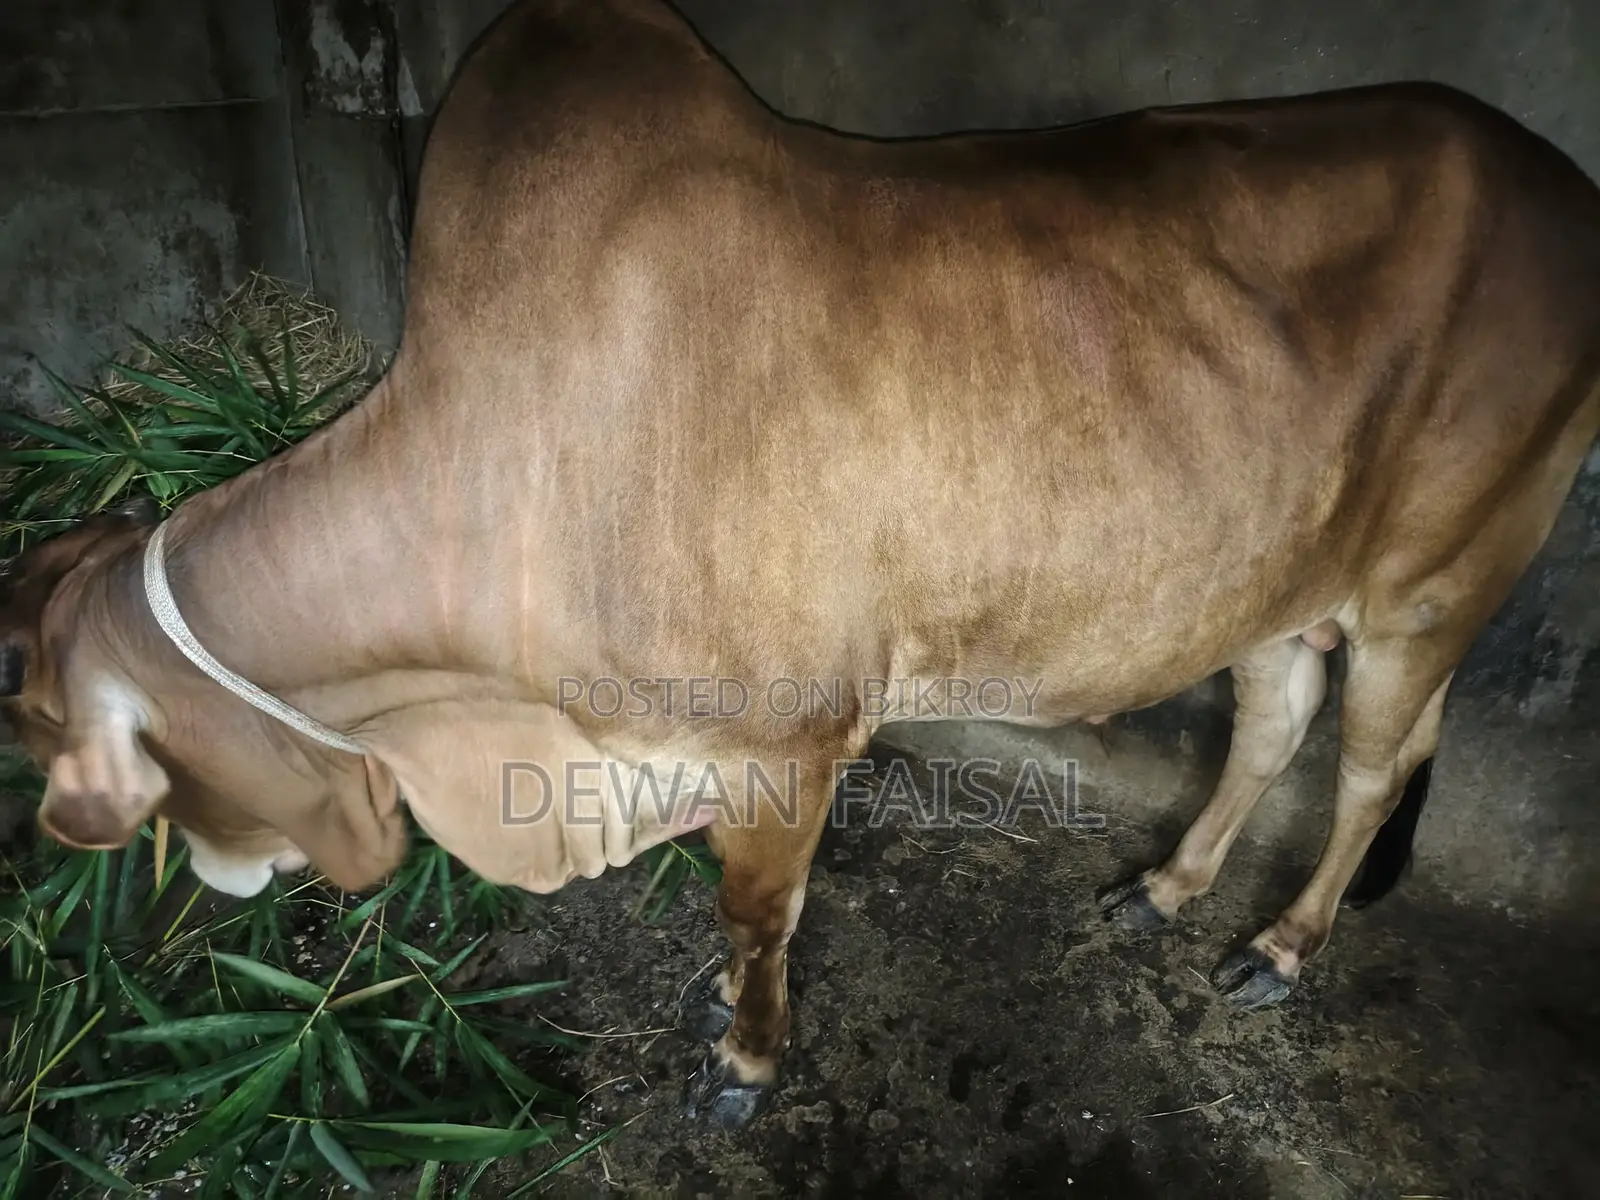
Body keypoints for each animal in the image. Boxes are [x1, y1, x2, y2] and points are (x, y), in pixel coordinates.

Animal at [3, 0, 1599, 1132]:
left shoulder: (782, 742)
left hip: (1432, 583)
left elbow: (756, 920)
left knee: (1374, 767)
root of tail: (1552, 182)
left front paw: (747, 1061)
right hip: (1274, 578)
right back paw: (1164, 888)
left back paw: (1279, 947)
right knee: (1273, 717)